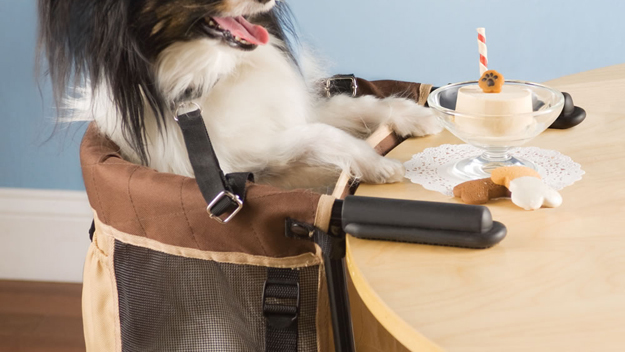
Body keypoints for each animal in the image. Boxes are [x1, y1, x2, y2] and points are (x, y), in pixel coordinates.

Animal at [39, 0, 442, 191]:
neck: (217, 70)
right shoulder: (244, 160)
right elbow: (321, 135)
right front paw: (376, 164)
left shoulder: (290, 110)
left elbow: (358, 105)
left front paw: (417, 115)